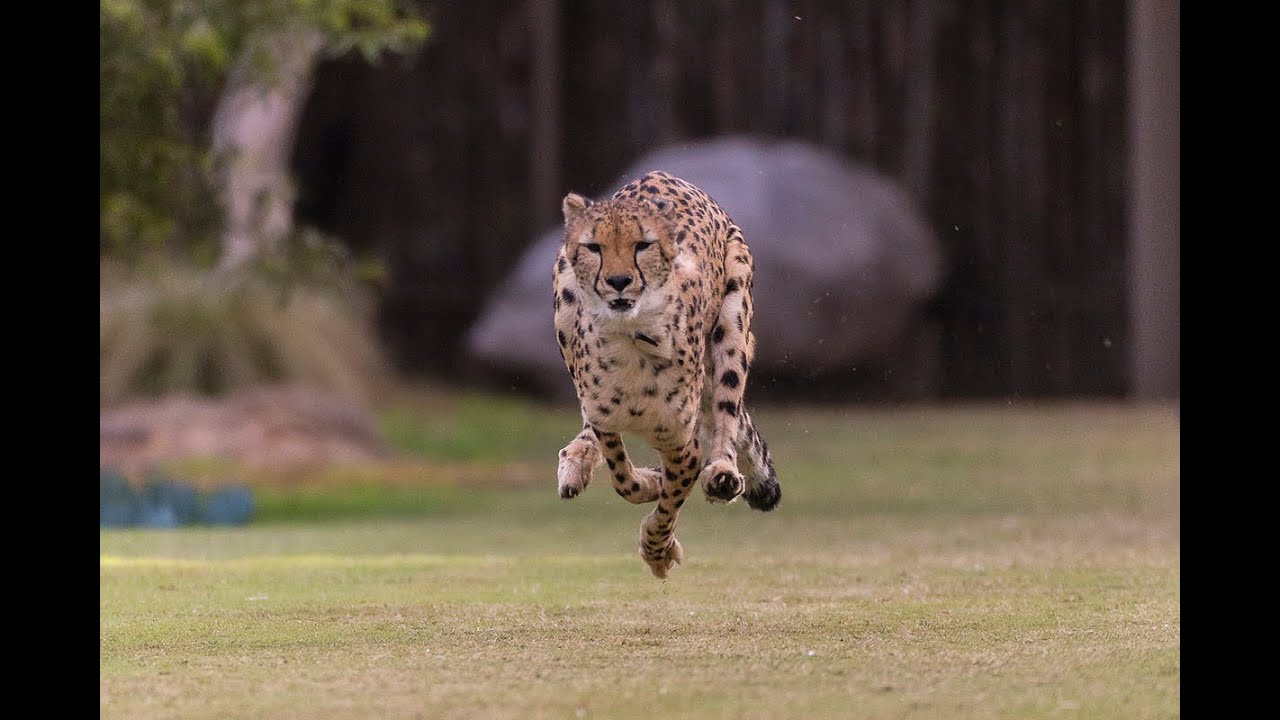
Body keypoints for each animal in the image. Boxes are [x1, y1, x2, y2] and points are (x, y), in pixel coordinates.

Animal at [552, 170, 781, 579]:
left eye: (643, 245)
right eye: (594, 247)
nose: (619, 281)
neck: (631, 339)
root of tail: (662, 174)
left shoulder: (683, 444)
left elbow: (670, 501)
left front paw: (657, 550)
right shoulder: (606, 420)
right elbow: (623, 478)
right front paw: (648, 482)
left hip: (733, 315)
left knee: (726, 408)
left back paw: (723, 472)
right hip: (564, 303)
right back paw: (575, 461)